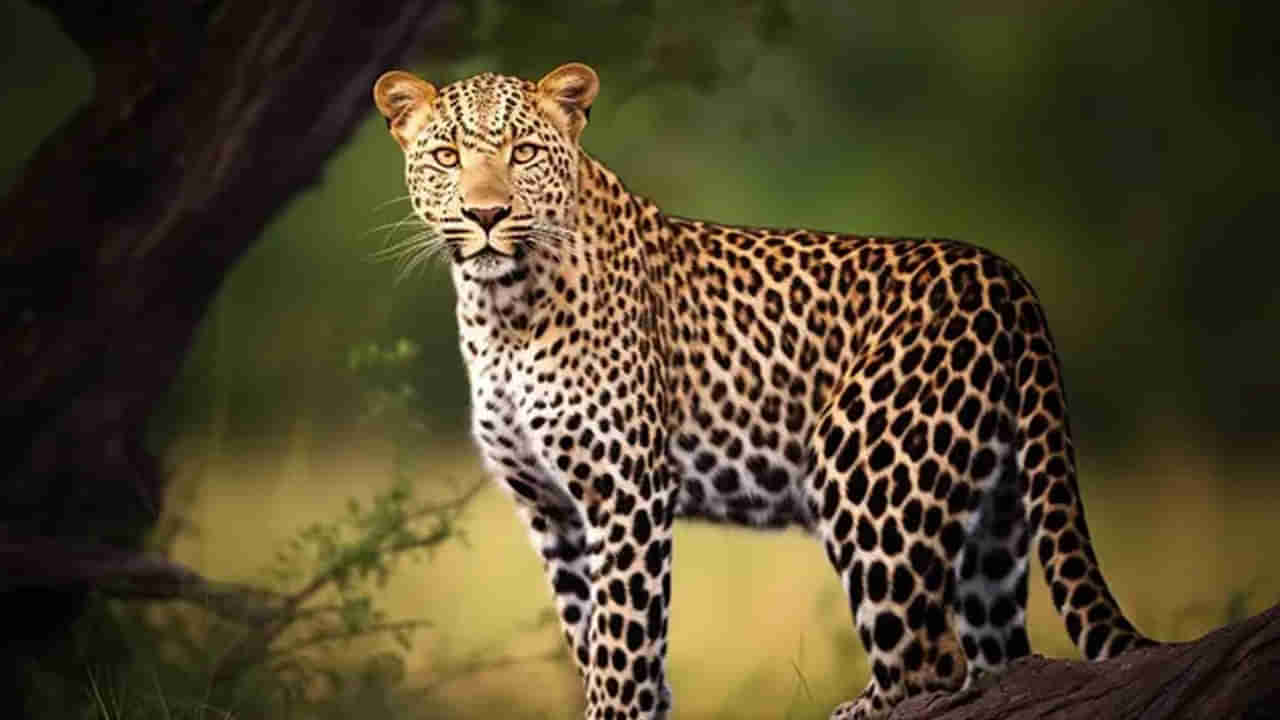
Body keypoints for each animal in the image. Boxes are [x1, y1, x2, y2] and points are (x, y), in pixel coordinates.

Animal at [371, 62, 1156, 719]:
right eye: (447, 157)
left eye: (525, 153)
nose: (487, 215)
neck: (499, 308)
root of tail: (1008, 277)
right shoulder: (551, 509)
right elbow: (596, 641)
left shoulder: (627, 494)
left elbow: (622, 646)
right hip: (996, 515)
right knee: (1000, 655)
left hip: (866, 476)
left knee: (928, 658)